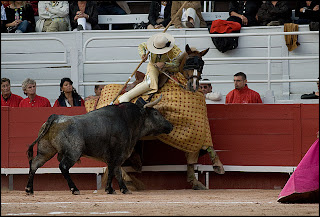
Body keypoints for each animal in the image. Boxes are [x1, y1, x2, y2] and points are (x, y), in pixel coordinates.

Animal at [25, 96, 172, 195]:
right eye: (156, 113)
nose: (171, 125)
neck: (129, 119)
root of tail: (55, 117)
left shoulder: (117, 155)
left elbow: (117, 171)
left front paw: (123, 189)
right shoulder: (117, 153)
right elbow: (113, 170)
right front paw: (110, 189)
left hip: (46, 151)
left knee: (34, 164)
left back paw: (29, 189)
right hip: (73, 152)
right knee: (63, 167)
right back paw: (75, 189)